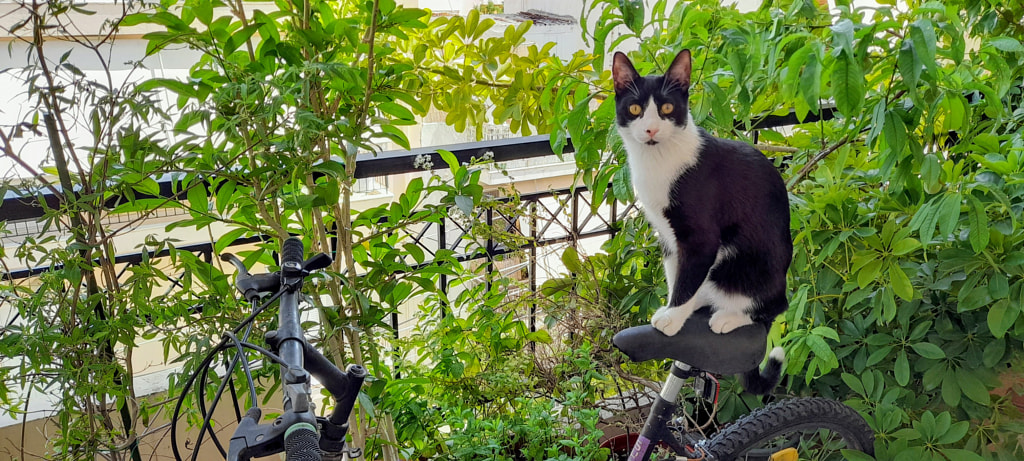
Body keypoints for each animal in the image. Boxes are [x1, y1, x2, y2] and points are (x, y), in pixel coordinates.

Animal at [614, 50, 790, 393]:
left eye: (667, 108)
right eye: (635, 108)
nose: (651, 130)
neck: (659, 162)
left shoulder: (700, 237)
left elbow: (688, 273)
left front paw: (671, 319)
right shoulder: (667, 236)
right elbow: (676, 273)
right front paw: (676, 310)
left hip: (751, 269)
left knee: (776, 305)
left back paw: (729, 316)